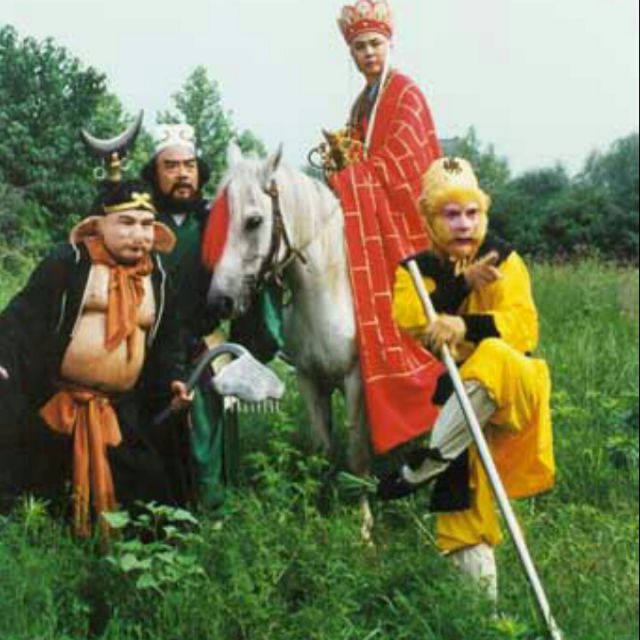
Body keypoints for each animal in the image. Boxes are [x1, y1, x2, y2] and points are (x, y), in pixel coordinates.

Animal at [205, 144, 374, 539]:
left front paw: (364, 527)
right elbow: (321, 447)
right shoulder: (310, 380)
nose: (219, 301)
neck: (328, 293)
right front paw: (318, 507)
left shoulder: (356, 381)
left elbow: (357, 452)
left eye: (254, 221)